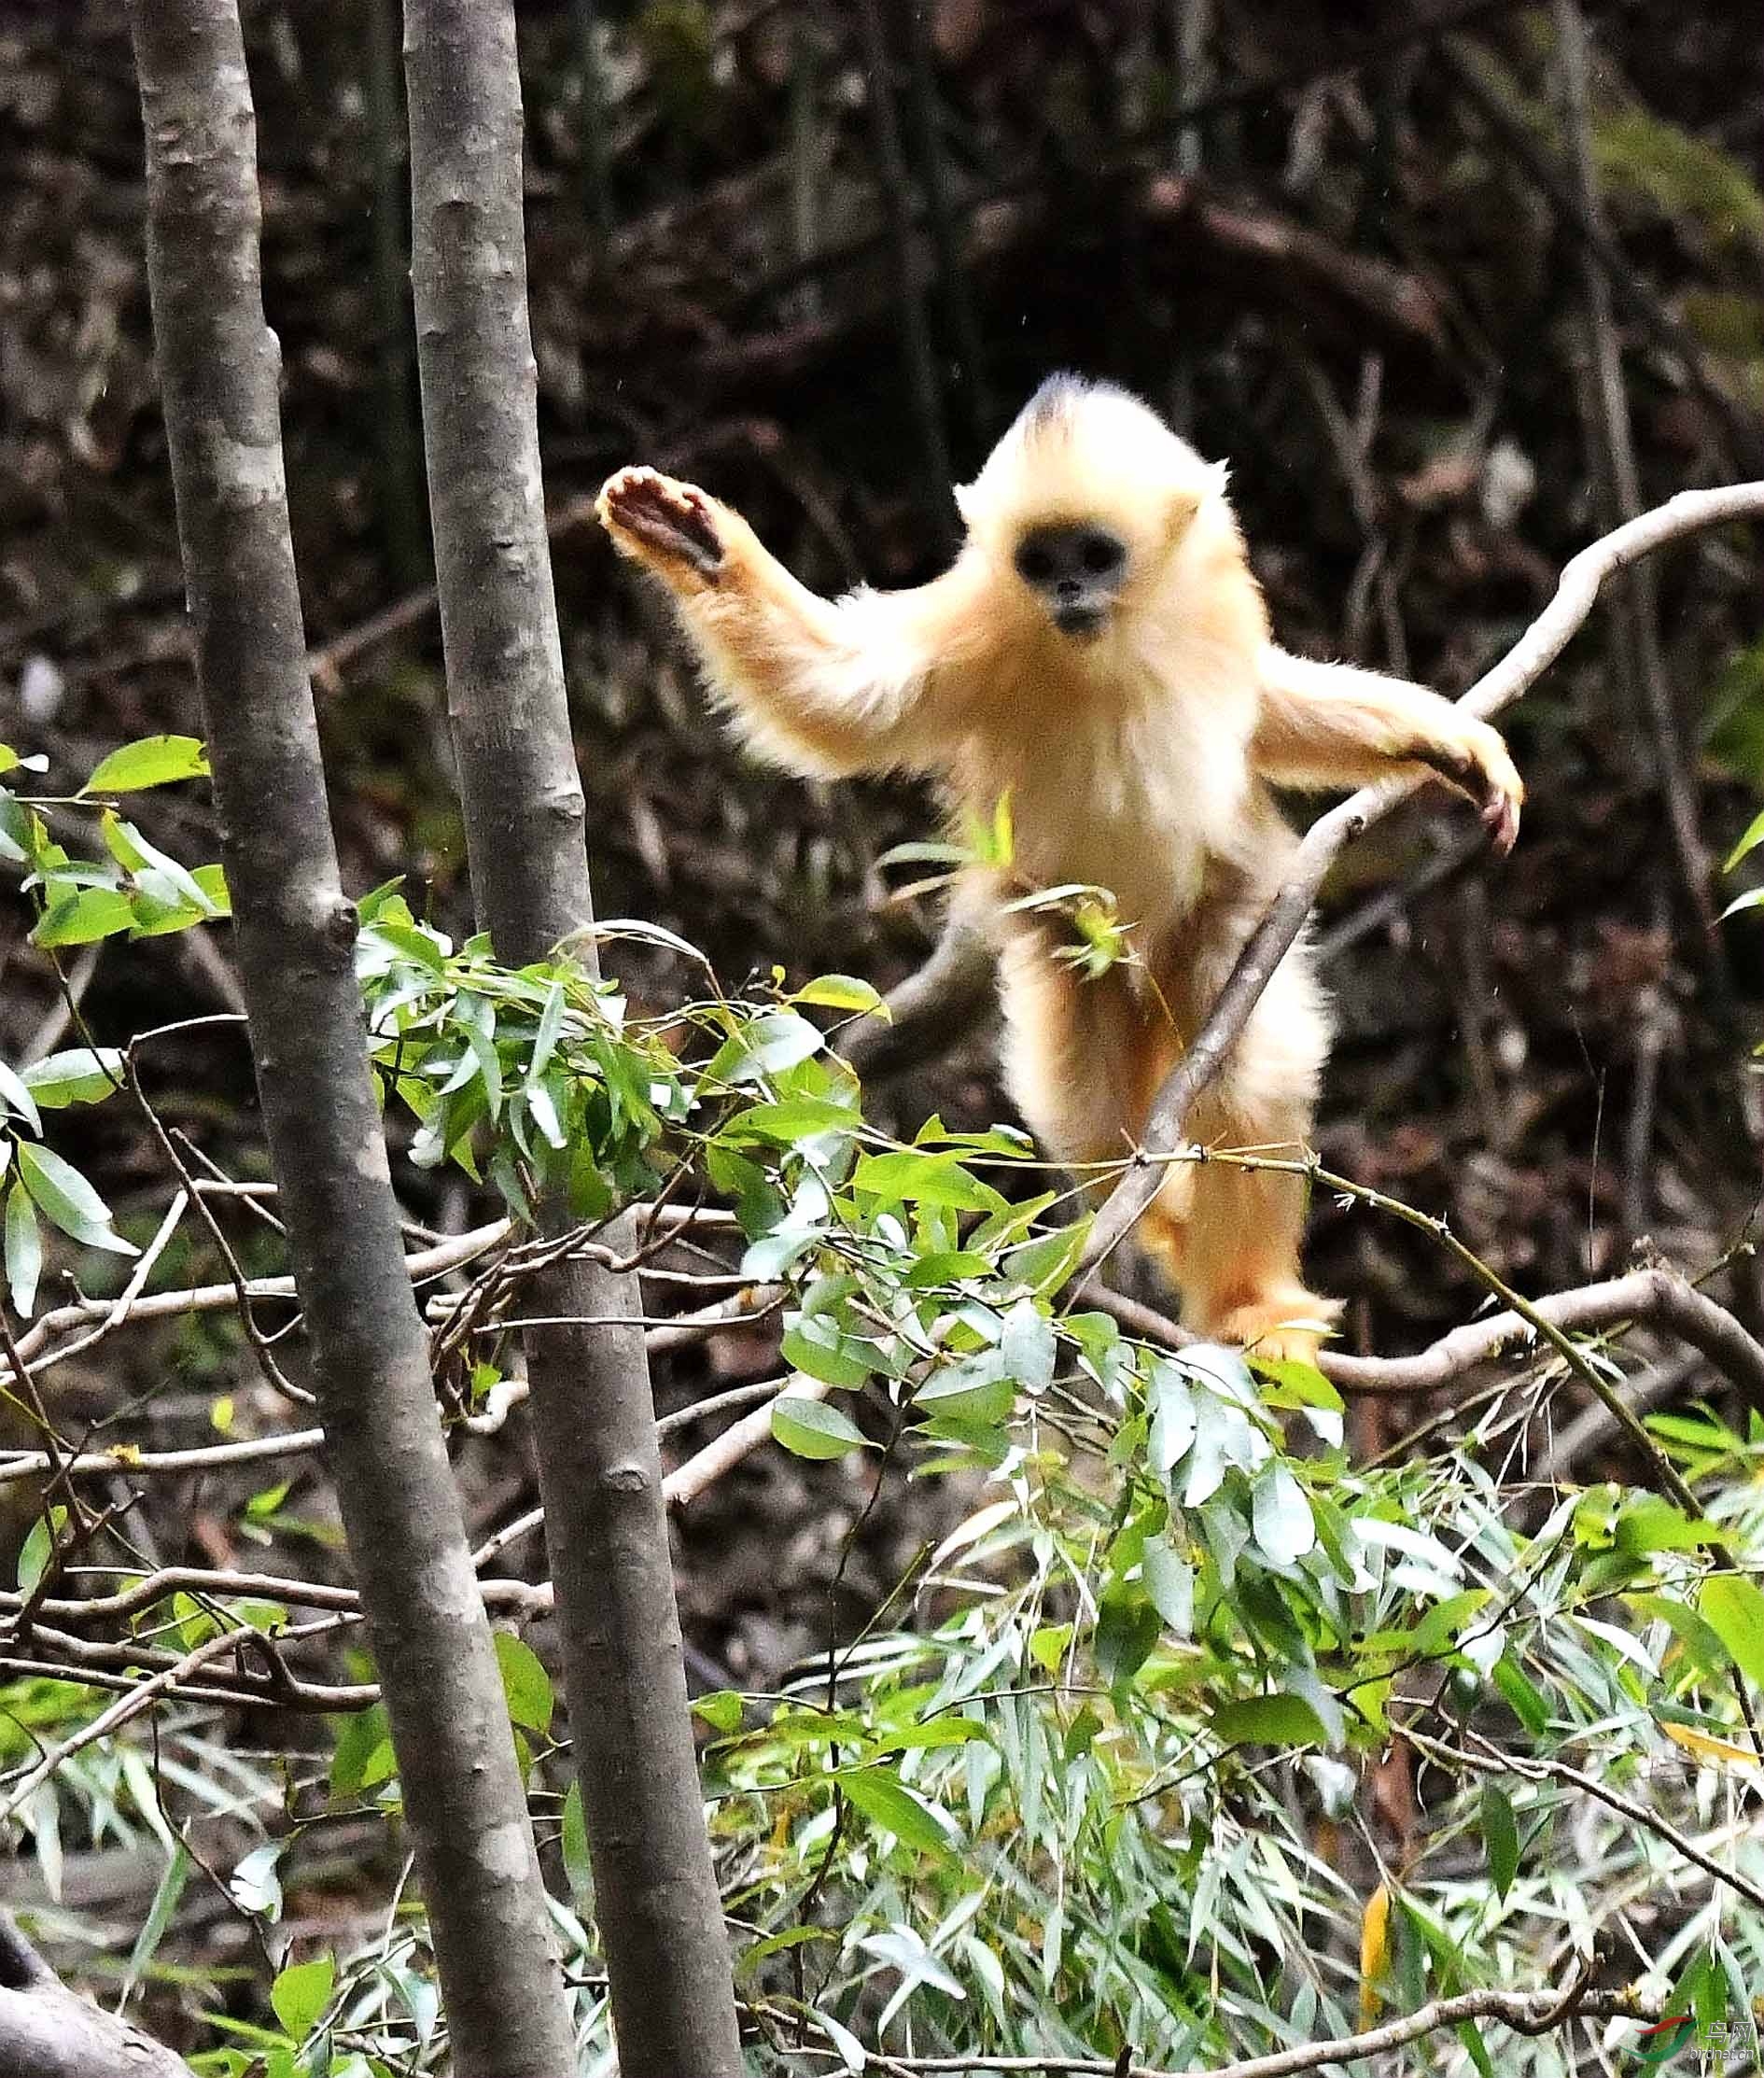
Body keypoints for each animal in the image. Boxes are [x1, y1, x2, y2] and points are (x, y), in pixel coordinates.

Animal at [598, 378, 1520, 1363]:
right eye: (1041, 563)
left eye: (1096, 555)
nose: (1071, 589)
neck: (1106, 646)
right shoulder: (973, 624)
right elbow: (841, 696)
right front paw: (694, 543)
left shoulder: (1220, 610)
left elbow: (1269, 708)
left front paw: (1447, 741)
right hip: (1066, 940)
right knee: (1083, 1090)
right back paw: (1152, 1225)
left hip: (1218, 910)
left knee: (1243, 1067)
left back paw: (1247, 1305)